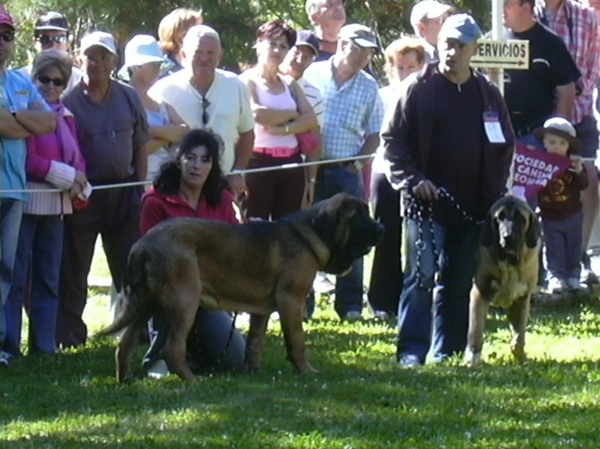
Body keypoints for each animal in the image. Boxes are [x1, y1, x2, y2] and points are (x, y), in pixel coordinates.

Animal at [99, 192, 384, 382]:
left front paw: (252, 371)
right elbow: (297, 341)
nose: (381, 227)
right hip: (184, 302)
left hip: (144, 304)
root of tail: (142, 244)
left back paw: (125, 379)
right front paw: (306, 371)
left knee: (124, 344)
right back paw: (192, 380)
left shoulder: (261, 311)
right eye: (358, 216)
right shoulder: (291, 302)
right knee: (172, 348)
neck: (309, 236)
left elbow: (255, 342)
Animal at [462, 194, 540, 366]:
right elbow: (475, 330)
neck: (510, 264)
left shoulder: (522, 299)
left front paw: (521, 357)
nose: (508, 237)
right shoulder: (480, 293)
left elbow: (519, 337)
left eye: (521, 218)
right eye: (499, 218)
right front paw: (472, 358)